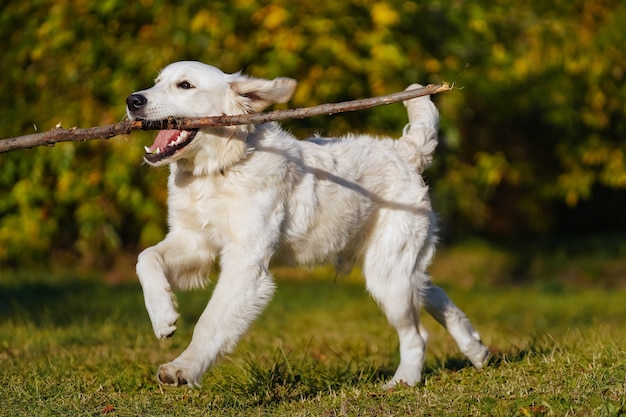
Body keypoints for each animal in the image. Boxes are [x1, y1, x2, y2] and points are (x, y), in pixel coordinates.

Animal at [125, 59, 488, 386]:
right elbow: (146, 259)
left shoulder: (246, 264)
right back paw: (476, 349)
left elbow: (210, 321)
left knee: (417, 334)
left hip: (388, 275)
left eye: (185, 85)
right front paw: (163, 316)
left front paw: (182, 368)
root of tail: (404, 151)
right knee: (434, 292)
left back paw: (404, 382)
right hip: (399, 269)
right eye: (156, 82)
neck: (218, 171)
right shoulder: (194, 242)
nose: (132, 100)